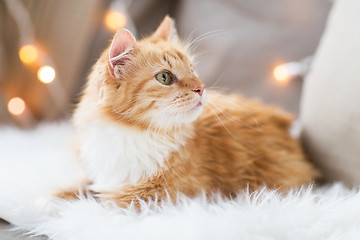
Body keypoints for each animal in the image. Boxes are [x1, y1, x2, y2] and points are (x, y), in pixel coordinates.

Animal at [50, 16, 318, 208]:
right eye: (165, 77)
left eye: (192, 70)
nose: (202, 88)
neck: (130, 134)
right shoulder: (103, 174)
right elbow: (84, 185)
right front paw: (55, 197)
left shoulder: (159, 195)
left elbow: (105, 200)